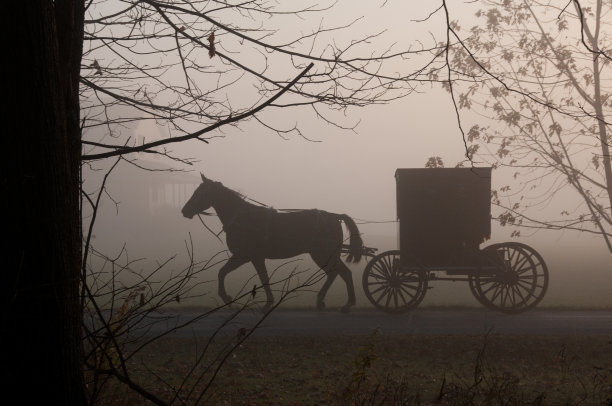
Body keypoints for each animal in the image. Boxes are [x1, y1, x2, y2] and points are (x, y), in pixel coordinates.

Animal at [182, 174, 364, 310]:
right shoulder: (254, 257)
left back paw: (338, 302)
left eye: (199, 192)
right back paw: (336, 302)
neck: (244, 218)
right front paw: (268, 301)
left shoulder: (244, 256)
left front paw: (227, 297)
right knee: (340, 273)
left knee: (338, 273)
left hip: (322, 254)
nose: (184, 211)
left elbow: (224, 273)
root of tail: (335, 216)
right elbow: (262, 277)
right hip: (327, 255)